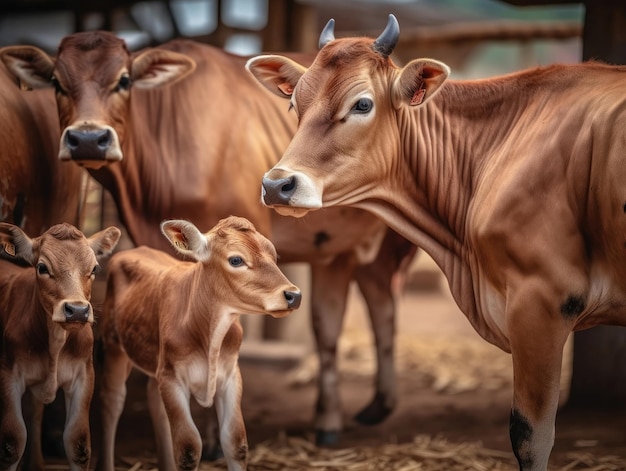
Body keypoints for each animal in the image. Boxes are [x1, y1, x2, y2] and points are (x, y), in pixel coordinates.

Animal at [0, 222, 121, 471]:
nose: (77, 310)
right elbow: (13, 441)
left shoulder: (84, 375)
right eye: (42, 267)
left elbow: (78, 443)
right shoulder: (9, 374)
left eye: (94, 268)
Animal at [97, 215, 300, 471]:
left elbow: (236, 443)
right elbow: (188, 448)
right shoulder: (173, 379)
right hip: (114, 344)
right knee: (112, 401)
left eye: (274, 256)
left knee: (155, 402)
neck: (210, 336)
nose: (294, 295)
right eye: (236, 260)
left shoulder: (230, 376)